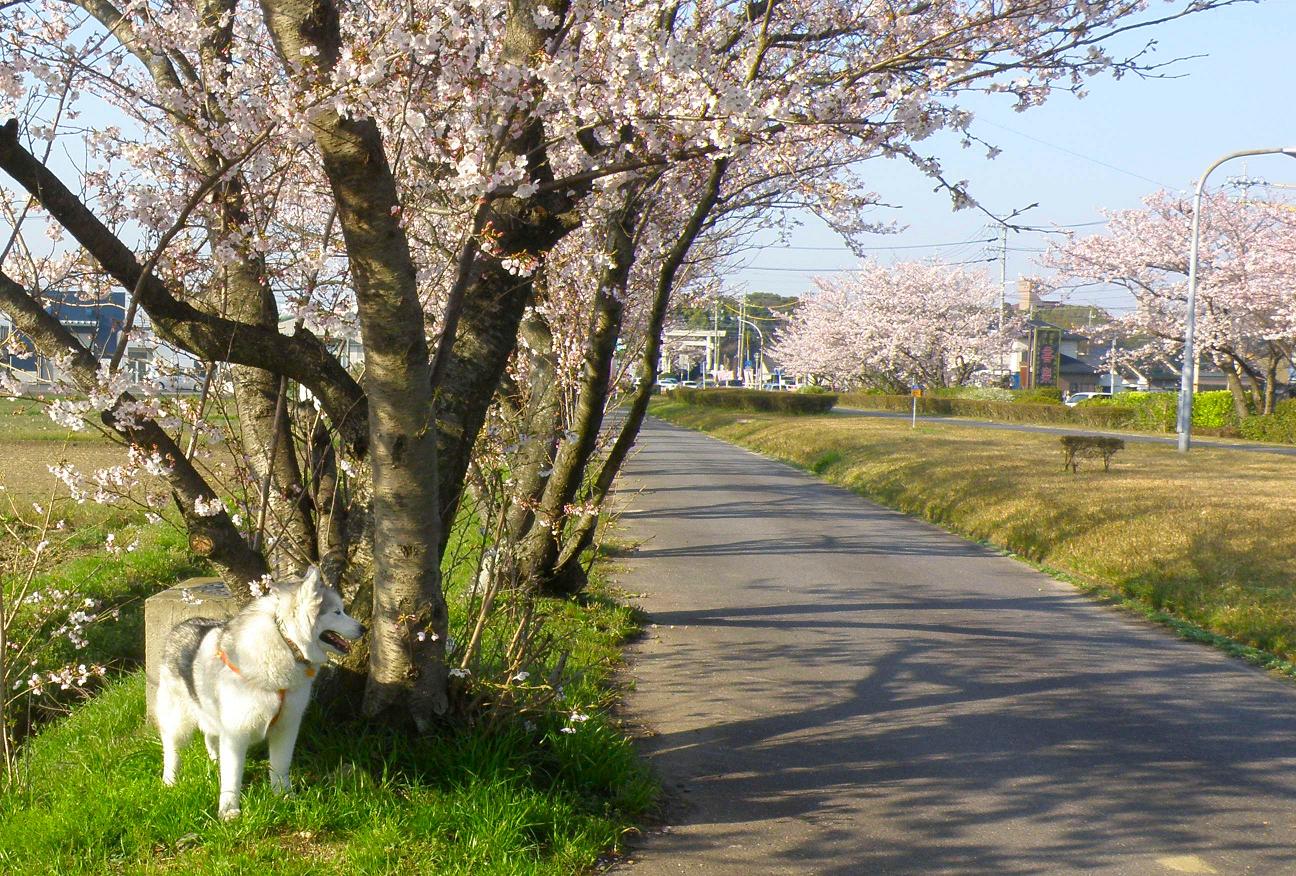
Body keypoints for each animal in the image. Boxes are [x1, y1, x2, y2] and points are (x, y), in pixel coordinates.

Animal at [155, 564, 365, 818]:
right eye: (337, 612)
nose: (364, 628)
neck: (286, 643)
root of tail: (181, 626)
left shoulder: (286, 728)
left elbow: (280, 768)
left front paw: (284, 797)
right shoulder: (235, 734)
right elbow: (232, 778)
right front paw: (229, 811)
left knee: (210, 735)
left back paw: (214, 759)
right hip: (178, 720)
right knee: (172, 750)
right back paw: (170, 781)